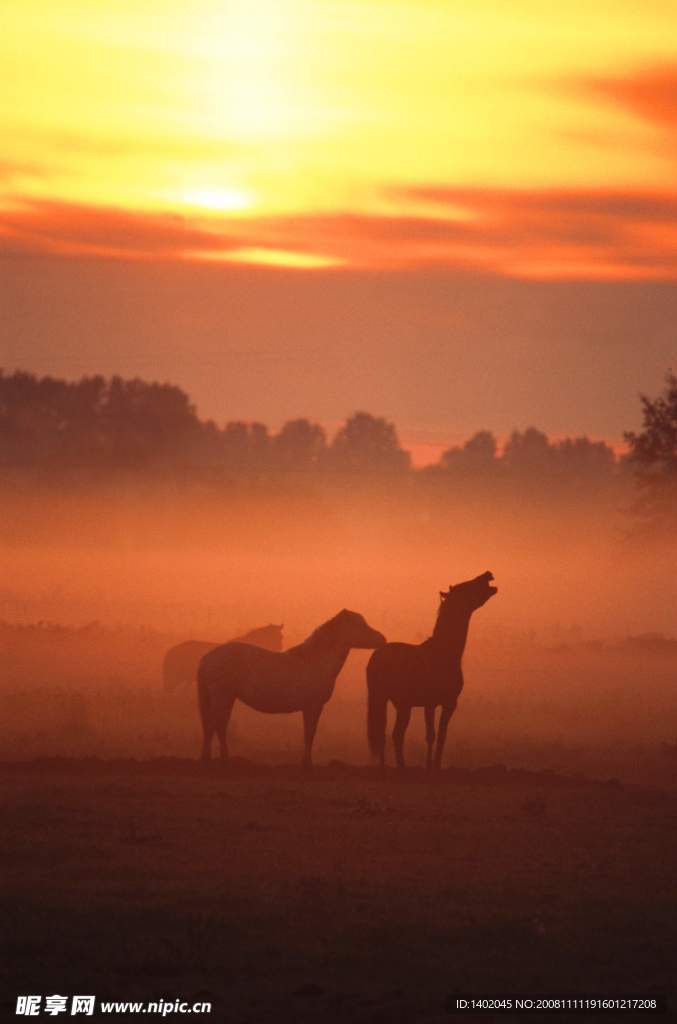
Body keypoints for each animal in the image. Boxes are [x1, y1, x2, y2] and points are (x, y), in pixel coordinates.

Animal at [195, 606, 385, 770]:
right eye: (360, 624)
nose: (382, 639)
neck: (314, 661)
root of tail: (208, 657)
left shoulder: (310, 707)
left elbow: (308, 733)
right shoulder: (313, 707)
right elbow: (310, 733)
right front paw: (307, 764)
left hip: (226, 698)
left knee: (215, 725)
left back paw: (213, 759)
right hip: (222, 697)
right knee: (216, 724)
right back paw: (219, 760)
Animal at [364, 573, 495, 770]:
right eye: (465, 586)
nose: (488, 574)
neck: (444, 653)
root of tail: (375, 658)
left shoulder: (444, 703)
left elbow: (439, 736)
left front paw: (435, 765)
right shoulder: (436, 703)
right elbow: (433, 735)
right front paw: (430, 766)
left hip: (394, 702)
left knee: (389, 734)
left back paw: (393, 766)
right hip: (390, 701)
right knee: (388, 734)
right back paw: (392, 767)